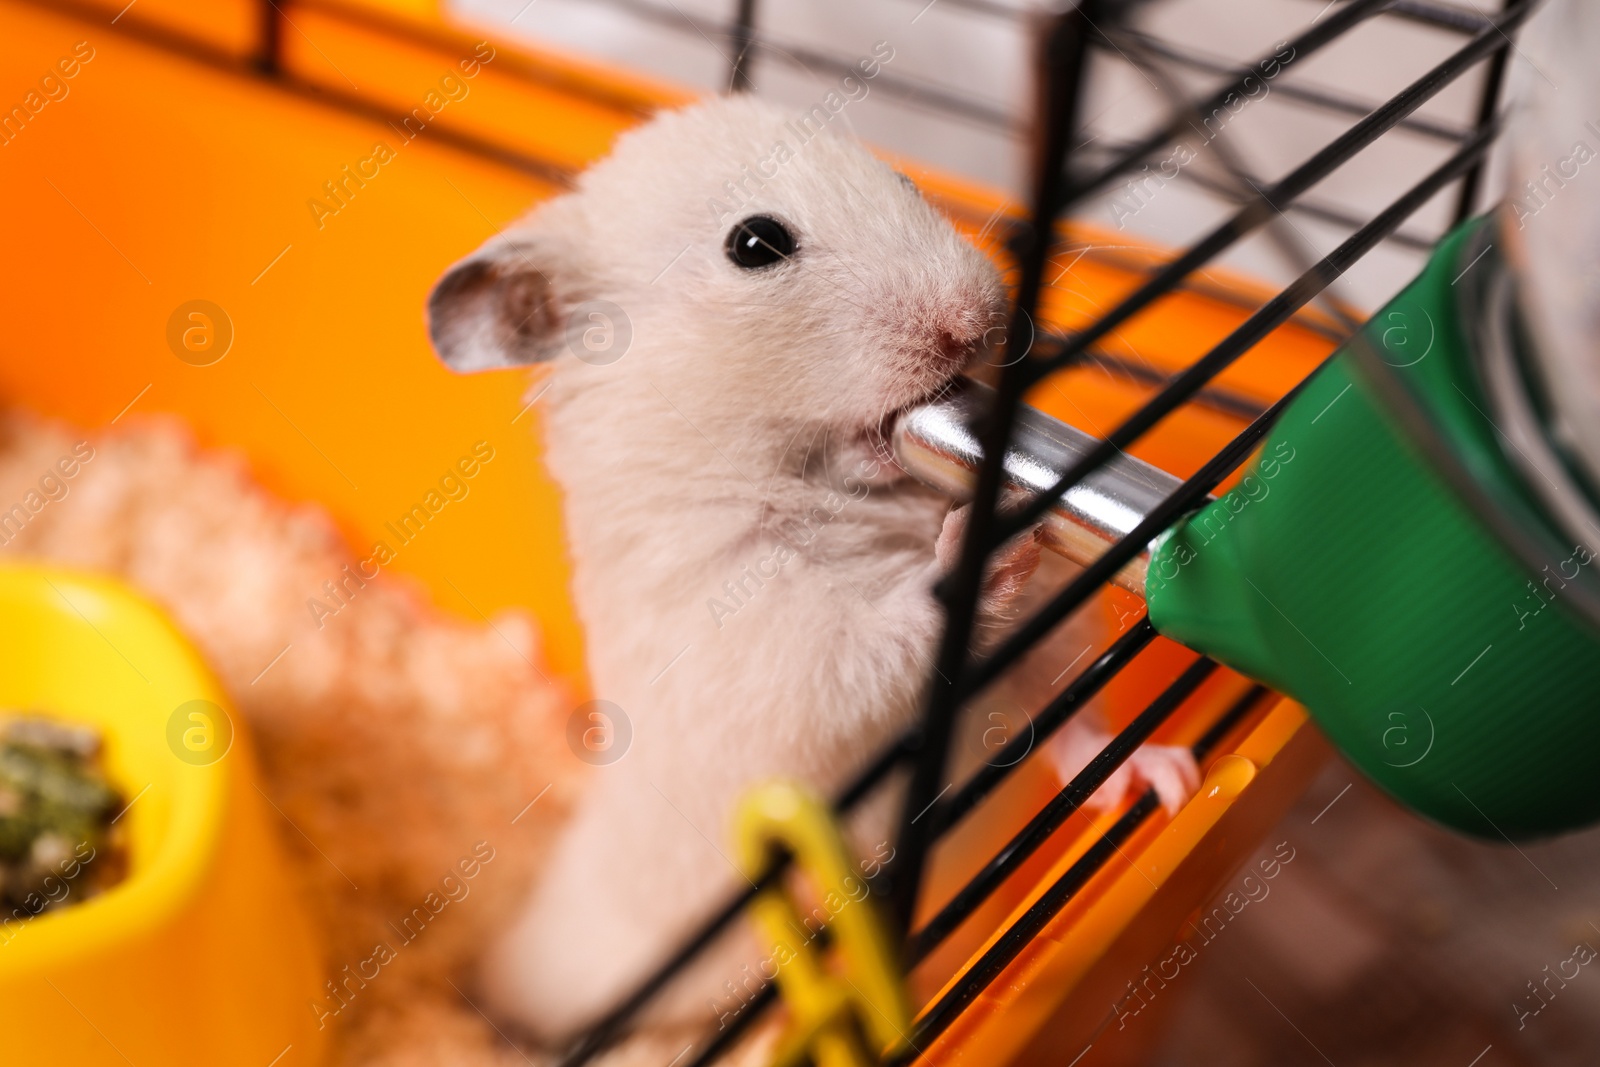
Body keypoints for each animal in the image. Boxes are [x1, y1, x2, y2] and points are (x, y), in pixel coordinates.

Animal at [425, 95, 1203, 1049]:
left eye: (904, 178)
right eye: (755, 243)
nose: (976, 322)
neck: (834, 483)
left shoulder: (1039, 641)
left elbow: (1074, 721)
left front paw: (1167, 773)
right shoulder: (763, 647)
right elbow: (874, 640)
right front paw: (973, 544)